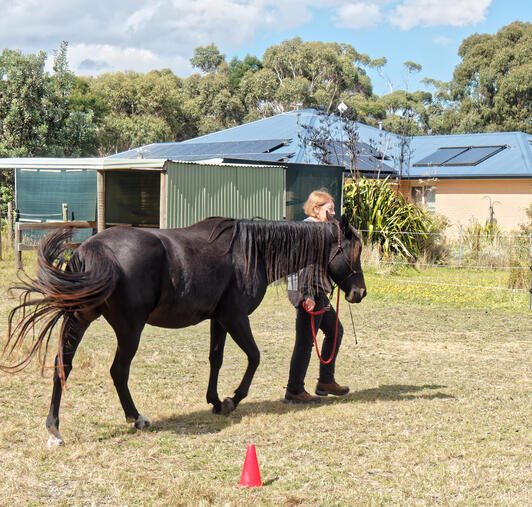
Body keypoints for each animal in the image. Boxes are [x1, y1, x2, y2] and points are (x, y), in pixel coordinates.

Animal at [2, 216, 366, 446]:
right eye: (354, 251)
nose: (359, 292)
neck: (251, 252)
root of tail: (91, 250)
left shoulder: (219, 320)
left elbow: (216, 359)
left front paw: (215, 400)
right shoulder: (235, 317)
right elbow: (254, 357)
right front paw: (233, 399)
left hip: (80, 319)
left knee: (62, 364)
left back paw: (55, 429)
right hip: (129, 330)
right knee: (118, 371)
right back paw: (136, 418)